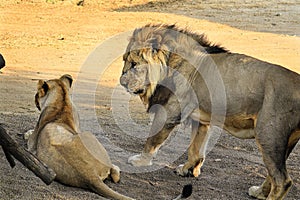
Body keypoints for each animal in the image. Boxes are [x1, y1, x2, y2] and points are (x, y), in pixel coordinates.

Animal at [120, 24, 300, 199]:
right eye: (125, 61)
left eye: (134, 64)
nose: (121, 82)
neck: (171, 63)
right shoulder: (201, 120)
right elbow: (196, 149)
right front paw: (187, 170)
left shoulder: (170, 112)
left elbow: (152, 140)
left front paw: (140, 160)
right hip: (285, 141)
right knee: (273, 174)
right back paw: (258, 192)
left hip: (268, 135)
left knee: (282, 180)